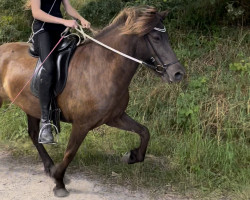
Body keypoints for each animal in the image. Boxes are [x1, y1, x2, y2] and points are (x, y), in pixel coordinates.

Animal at [0, 5, 186, 197]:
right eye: (156, 38)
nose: (178, 73)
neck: (100, 68)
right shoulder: (82, 124)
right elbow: (70, 152)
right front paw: (59, 182)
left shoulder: (114, 117)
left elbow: (144, 132)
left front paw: (133, 156)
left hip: (31, 107)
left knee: (33, 133)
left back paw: (49, 166)